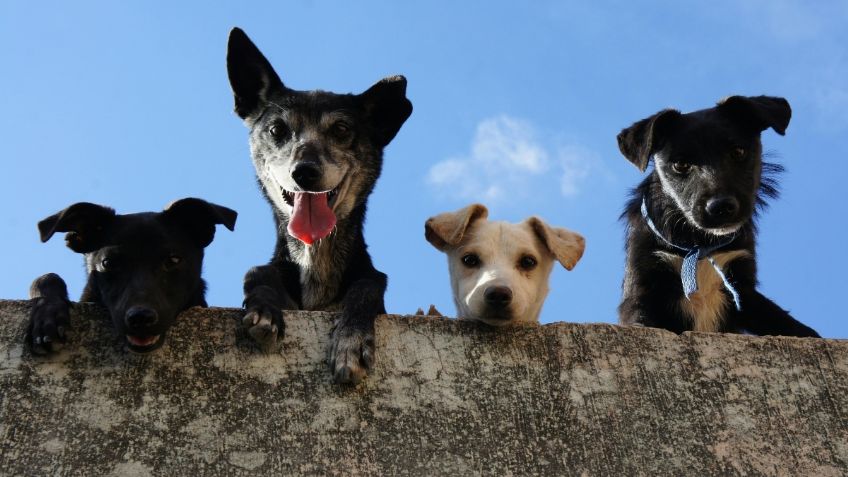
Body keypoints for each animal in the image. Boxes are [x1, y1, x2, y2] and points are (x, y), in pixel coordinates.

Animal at [224, 27, 412, 384]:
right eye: (277, 129)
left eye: (341, 129)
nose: (305, 172)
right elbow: (256, 273)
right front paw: (264, 311)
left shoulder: (369, 284)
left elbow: (367, 286)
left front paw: (351, 341)